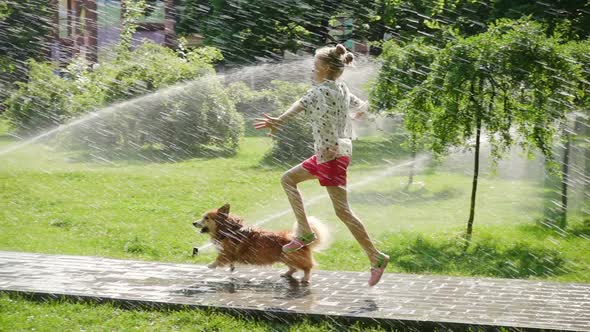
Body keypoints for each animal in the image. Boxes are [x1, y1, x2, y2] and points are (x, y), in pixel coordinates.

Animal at [195, 202, 330, 282]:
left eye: (206, 218)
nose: (193, 223)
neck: (229, 229)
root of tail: (302, 240)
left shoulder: (226, 253)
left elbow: (218, 259)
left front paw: (210, 265)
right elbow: (229, 262)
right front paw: (231, 268)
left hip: (292, 257)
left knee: (307, 267)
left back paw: (305, 278)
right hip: (284, 256)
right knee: (294, 268)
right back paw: (286, 274)